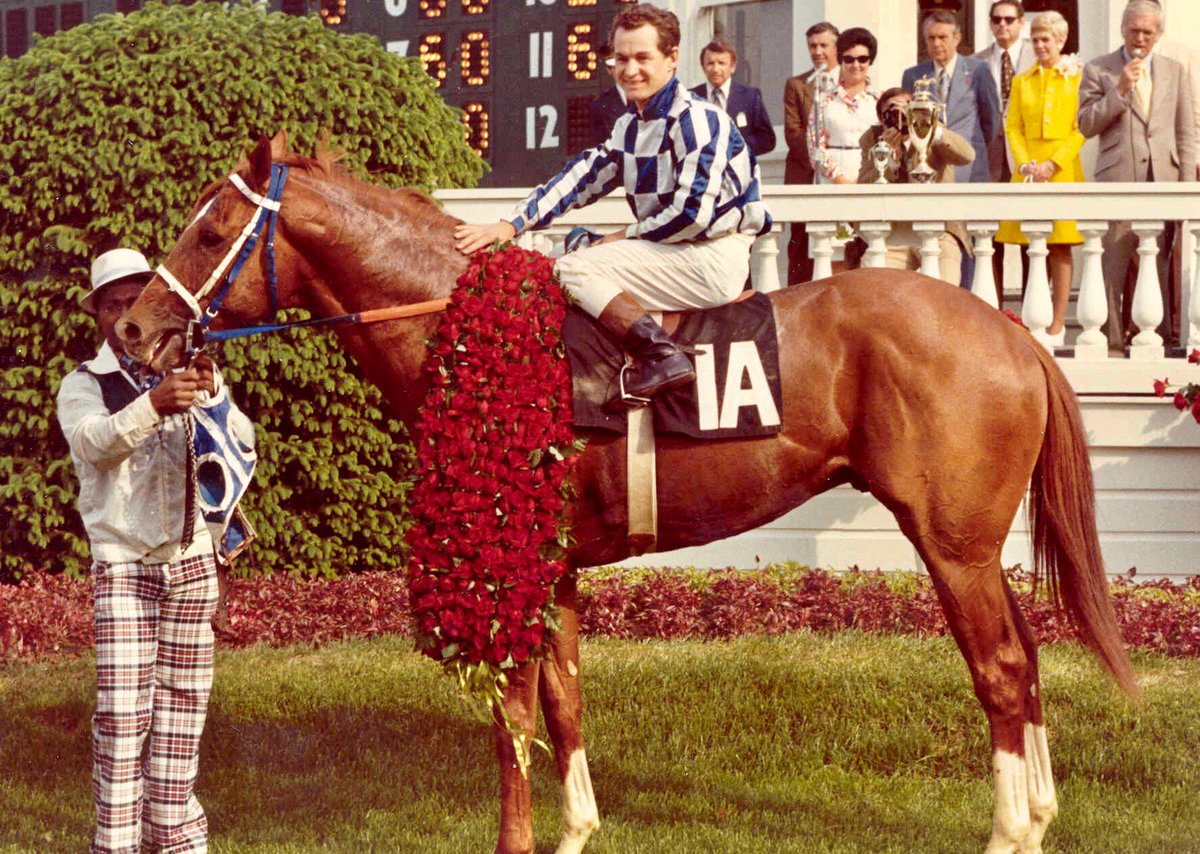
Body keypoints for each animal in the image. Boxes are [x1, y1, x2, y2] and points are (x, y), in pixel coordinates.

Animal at [116, 132, 1137, 854]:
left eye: (211, 230)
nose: (131, 328)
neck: (464, 325)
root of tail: (1015, 333)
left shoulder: (508, 563)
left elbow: (512, 715)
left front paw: (517, 839)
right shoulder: (558, 563)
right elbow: (565, 700)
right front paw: (575, 831)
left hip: (950, 542)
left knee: (999, 670)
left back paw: (1009, 831)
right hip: (977, 544)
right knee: (1028, 660)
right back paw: (1042, 815)